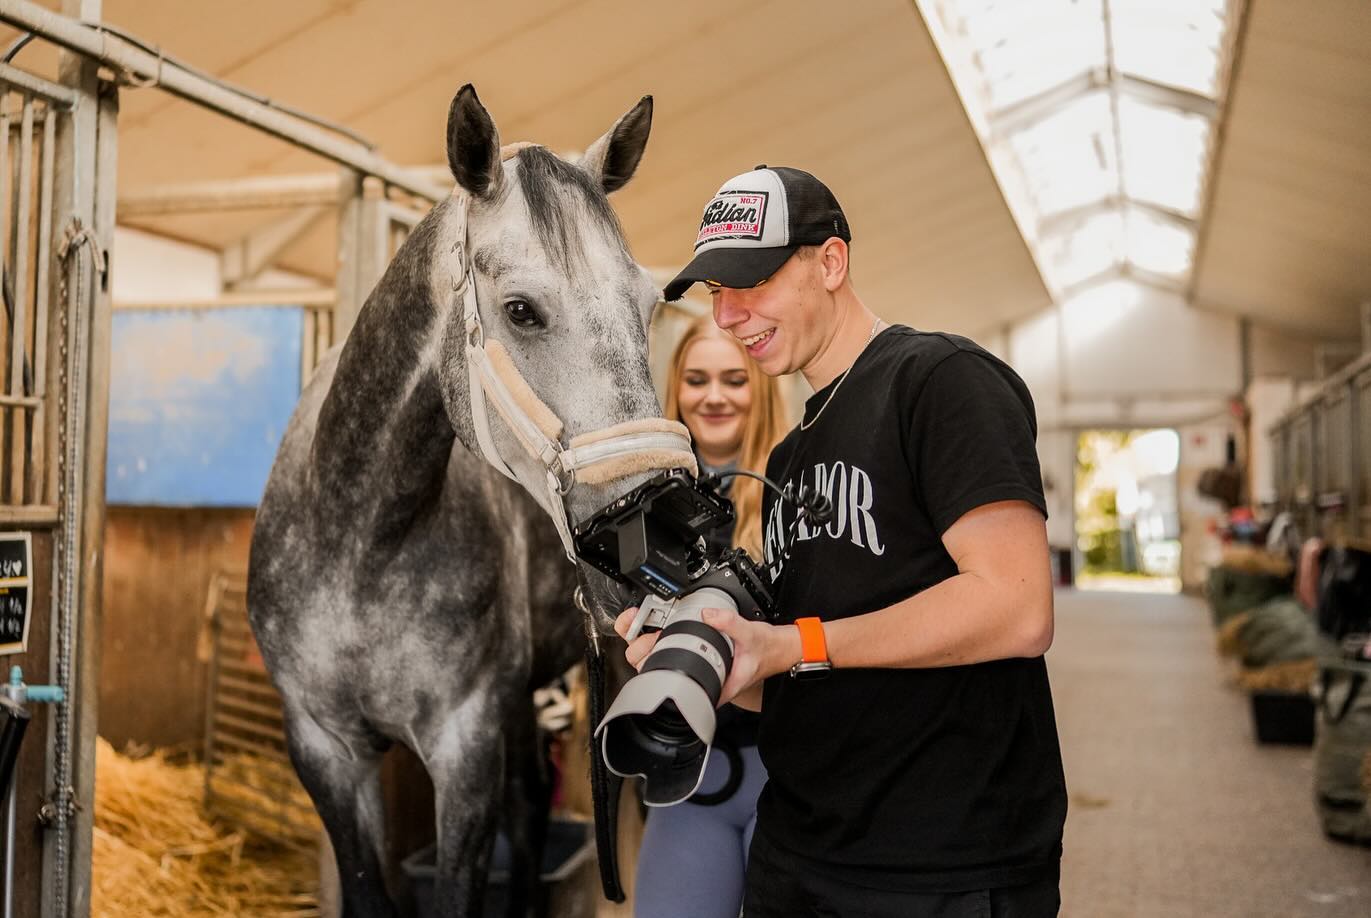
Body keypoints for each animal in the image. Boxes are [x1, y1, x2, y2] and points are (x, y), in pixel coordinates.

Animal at [247, 84, 688, 917]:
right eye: (519, 309)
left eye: (648, 304)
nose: (662, 529)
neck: (361, 541)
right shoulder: (324, 749)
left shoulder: (465, 745)